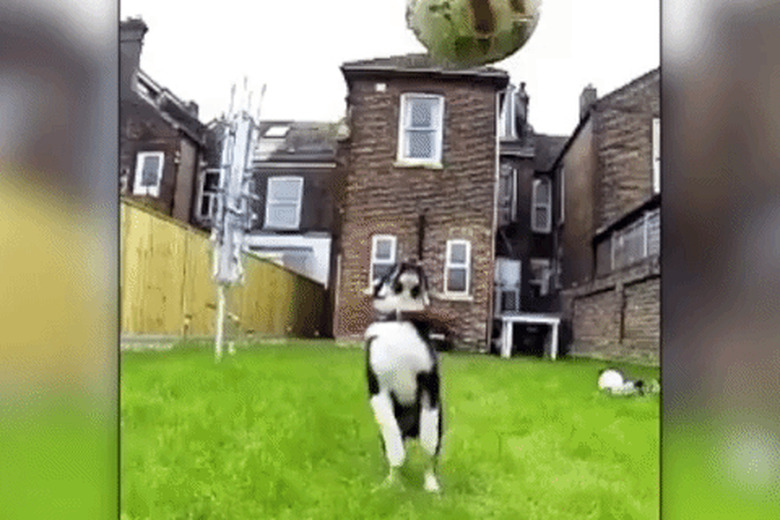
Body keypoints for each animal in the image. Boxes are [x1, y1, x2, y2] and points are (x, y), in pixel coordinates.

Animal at [362, 262, 442, 494]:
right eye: (392, 268)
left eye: (422, 270)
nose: (411, 262)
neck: (399, 320)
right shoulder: (378, 391)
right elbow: (394, 444)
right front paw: (392, 483)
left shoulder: (429, 388)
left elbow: (428, 445)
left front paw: (431, 485)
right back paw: (392, 479)